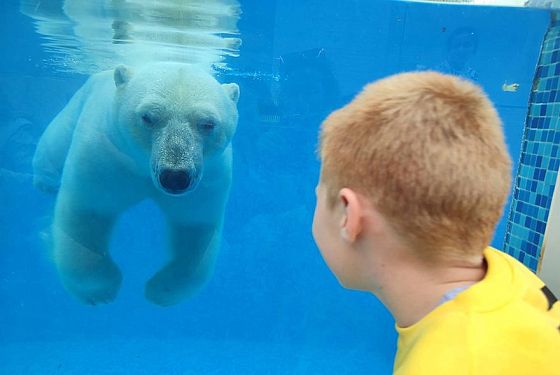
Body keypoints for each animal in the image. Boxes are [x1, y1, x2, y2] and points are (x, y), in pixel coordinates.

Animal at [32, 62, 238, 308]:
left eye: (208, 123)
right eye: (148, 117)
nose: (174, 176)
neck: (141, 165)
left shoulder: (209, 177)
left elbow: (194, 227)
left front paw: (160, 291)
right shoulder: (106, 155)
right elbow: (89, 211)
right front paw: (100, 290)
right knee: (56, 139)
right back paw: (45, 180)